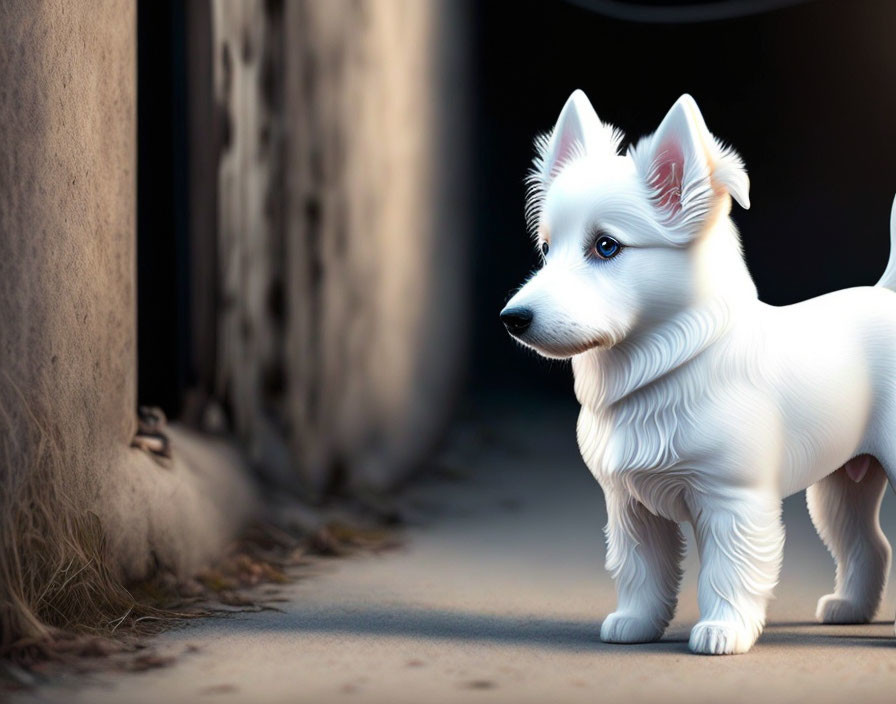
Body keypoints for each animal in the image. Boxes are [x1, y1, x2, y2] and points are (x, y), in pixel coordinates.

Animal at [500, 89, 896, 656]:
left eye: (606, 246)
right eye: (547, 249)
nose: (512, 319)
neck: (666, 365)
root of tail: (887, 294)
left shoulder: (734, 501)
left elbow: (728, 571)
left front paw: (724, 631)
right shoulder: (630, 507)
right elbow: (642, 571)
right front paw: (635, 623)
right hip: (841, 486)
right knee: (869, 543)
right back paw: (849, 610)